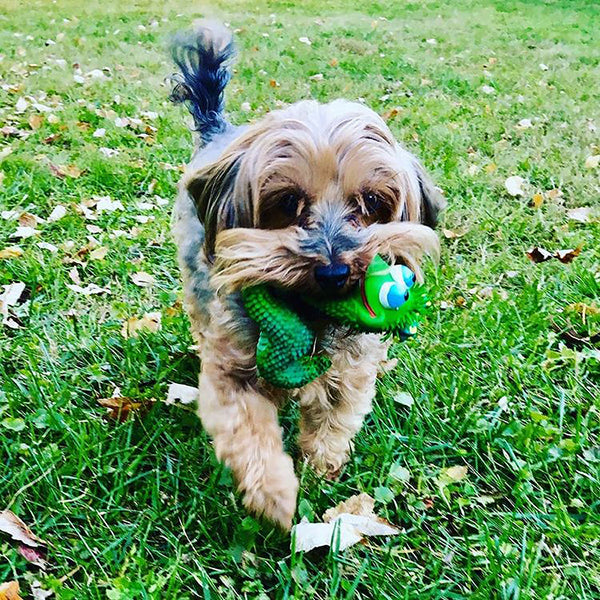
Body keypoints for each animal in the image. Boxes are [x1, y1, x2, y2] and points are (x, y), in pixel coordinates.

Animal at [169, 21, 446, 528]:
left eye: (372, 202)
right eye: (286, 202)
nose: (335, 272)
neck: (306, 318)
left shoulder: (350, 370)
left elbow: (336, 417)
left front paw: (322, 467)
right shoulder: (231, 369)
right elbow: (248, 429)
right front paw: (276, 495)